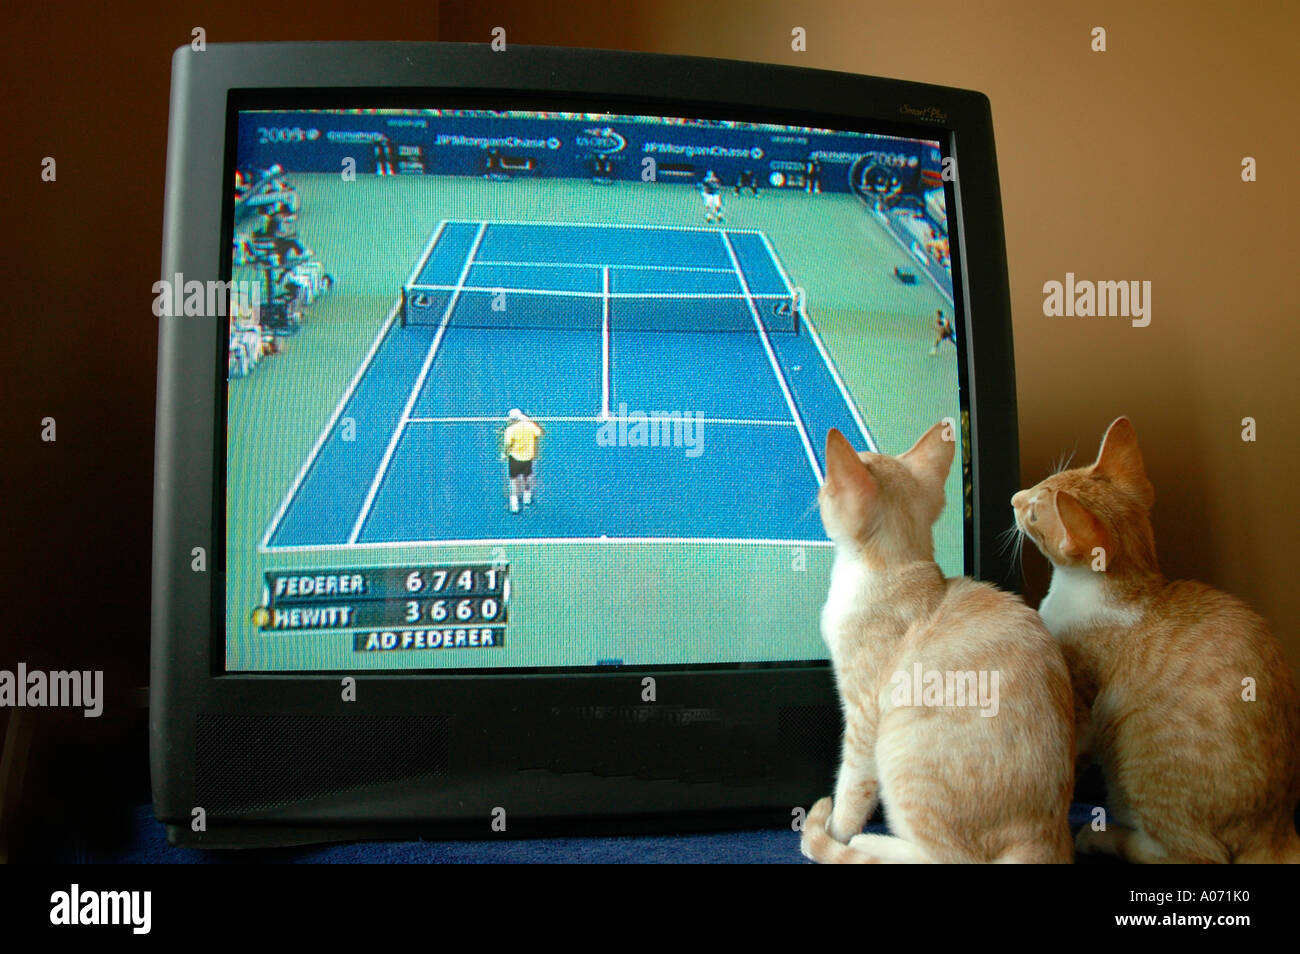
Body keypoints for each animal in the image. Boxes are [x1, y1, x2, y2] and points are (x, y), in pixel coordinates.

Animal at [800, 426, 1076, 868]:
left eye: (827, 487)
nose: (818, 492)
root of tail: (1045, 837)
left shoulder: (863, 712)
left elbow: (852, 784)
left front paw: (835, 831)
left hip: (899, 752)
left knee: (948, 857)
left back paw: (870, 843)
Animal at [1013, 418, 1300, 868]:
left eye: (1036, 512)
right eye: (1041, 483)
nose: (1014, 498)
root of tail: (1277, 829)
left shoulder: (1080, 704)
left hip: (1137, 764)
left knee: (1195, 853)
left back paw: (1102, 836)